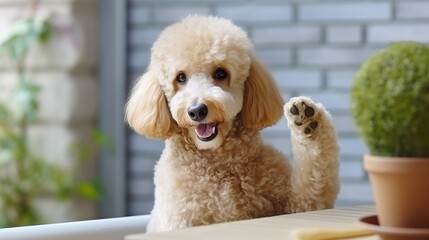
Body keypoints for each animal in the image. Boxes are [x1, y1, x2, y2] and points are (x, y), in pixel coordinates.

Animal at [125, 15, 340, 232]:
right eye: (181, 78)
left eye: (221, 73)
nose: (197, 111)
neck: (218, 164)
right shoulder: (179, 220)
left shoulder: (299, 203)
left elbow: (315, 181)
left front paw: (309, 123)